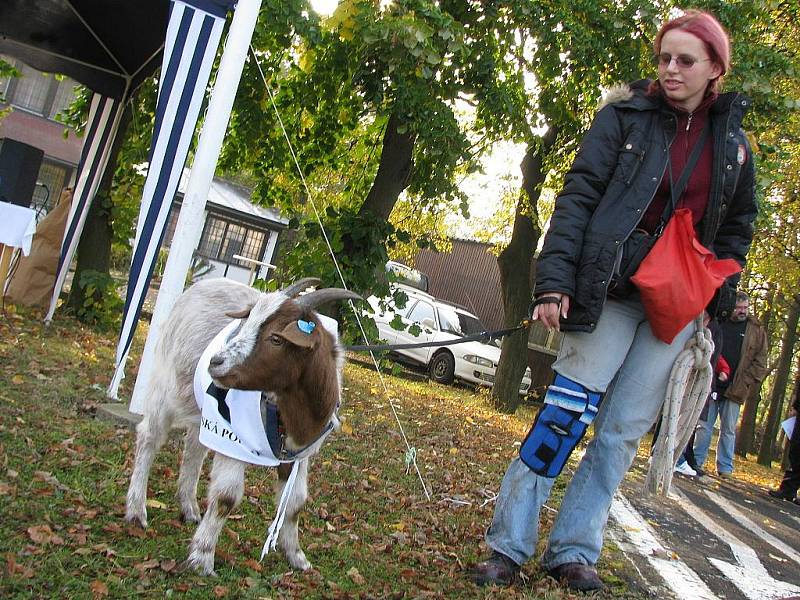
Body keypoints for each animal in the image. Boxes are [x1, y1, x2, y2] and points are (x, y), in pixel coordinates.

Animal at [124, 276, 360, 572]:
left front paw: (296, 556)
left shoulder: (300, 455)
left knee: (194, 448)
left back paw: (189, 508)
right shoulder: (234, 441)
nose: (216, 362)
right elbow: (226, 497)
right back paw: (136, 511)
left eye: (276, 338)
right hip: (166, 386)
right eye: (244, 325)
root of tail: (202, 284)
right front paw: (202, 557)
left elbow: (295, 503)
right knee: (149, 437)